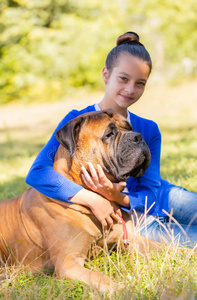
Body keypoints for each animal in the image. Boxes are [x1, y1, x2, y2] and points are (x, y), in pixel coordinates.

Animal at [0, 109, 154, 292]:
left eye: (129, 127)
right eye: (109, 134)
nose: (138, 136)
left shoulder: (134, 240)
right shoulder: (68, 262)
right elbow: (99, 277)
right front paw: (120, 289)